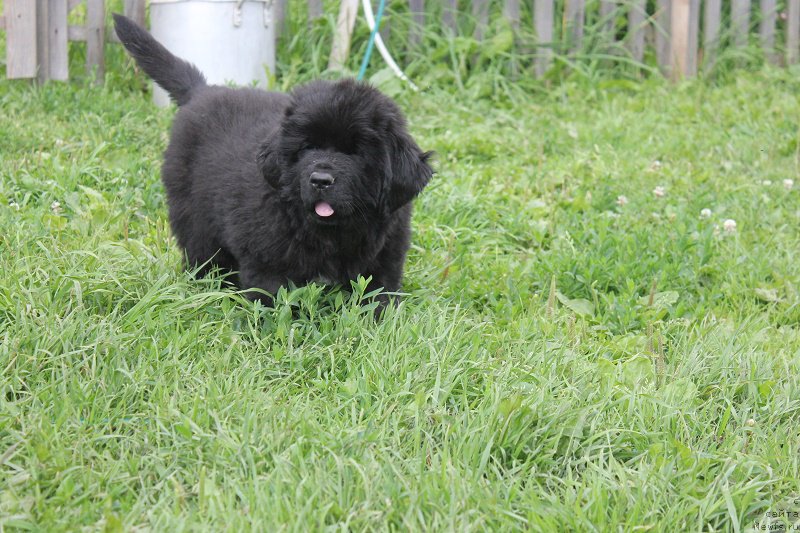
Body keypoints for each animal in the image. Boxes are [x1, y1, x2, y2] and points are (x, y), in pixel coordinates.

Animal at [112, 15, 432, 308]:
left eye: (356, 152)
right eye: (307, 147)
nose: (320, 180)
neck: (330, 232)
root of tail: (203, 91)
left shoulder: (386, 256)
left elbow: (379, 297)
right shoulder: (266, 261)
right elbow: (272, 302)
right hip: (193, 215)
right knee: (202, 254)